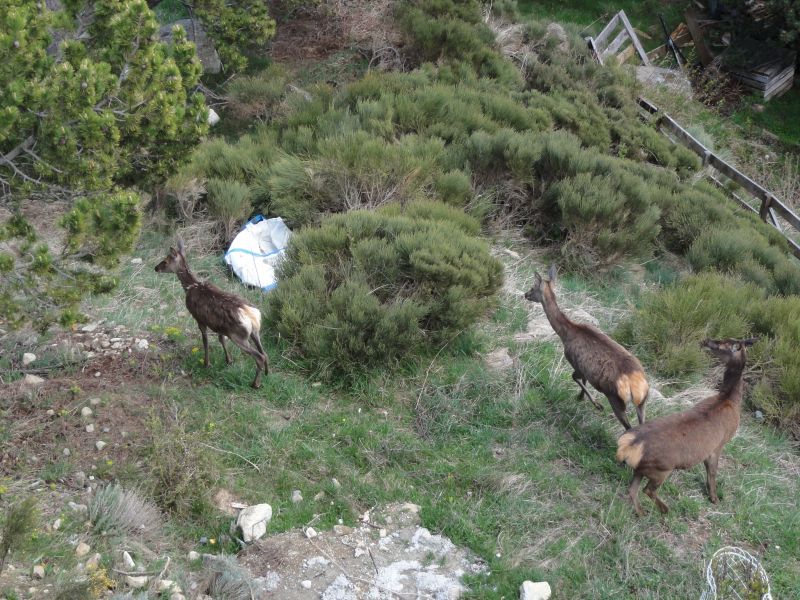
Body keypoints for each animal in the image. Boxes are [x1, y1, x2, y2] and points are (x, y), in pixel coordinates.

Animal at [155, 239, 270, 390]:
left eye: (165, 261)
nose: (156, 268)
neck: (191, 286)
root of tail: (252, 315)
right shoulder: (218, 326)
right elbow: (221, 339)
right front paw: (229, 360)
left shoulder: (199, 318)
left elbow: (205, 341)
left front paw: (206, 363)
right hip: (254, 332)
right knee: (265, 353)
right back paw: (267, 373)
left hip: (238, 336)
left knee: (259, 356)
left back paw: (255, 383)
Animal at [524, 264, 648, 428]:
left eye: (533, 287)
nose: (525, 294)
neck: (566, 334)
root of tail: (638, 384)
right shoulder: (584, 369)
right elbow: (582, 381)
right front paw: (581, 398)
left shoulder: (574, 361)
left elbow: (576, 378)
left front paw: (596, 404)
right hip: (642, 403)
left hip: (615, 397)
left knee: (628, 426)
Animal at [616, 338, 760, 516]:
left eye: (722, 343)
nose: (706, 341)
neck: (730, 399)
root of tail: (627, 447)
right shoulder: (718, 444)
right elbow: (712, 472)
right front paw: (714, 498)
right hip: (661, 469)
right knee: (647, 490)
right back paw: (665, 509)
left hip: (641, 469)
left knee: (632, 490)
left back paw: (642, 513)